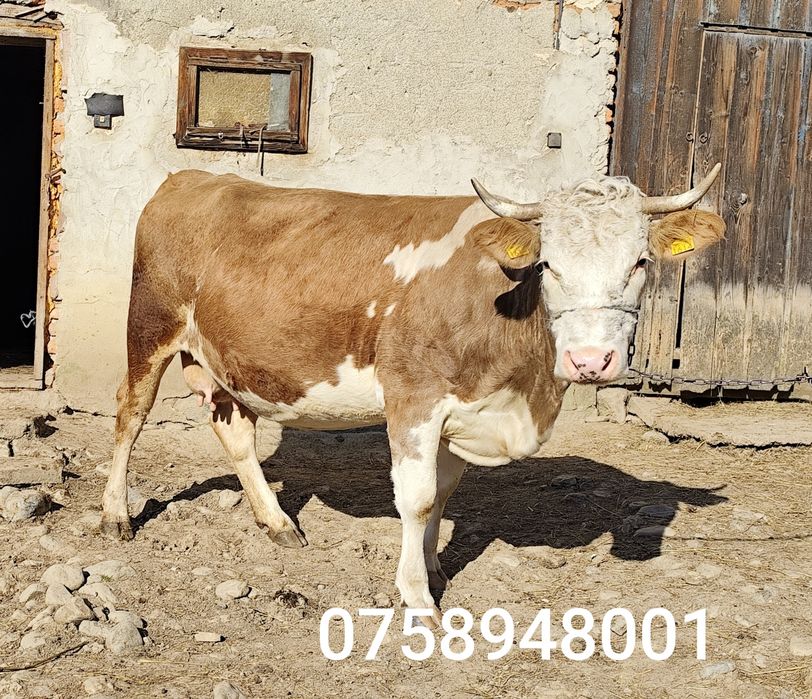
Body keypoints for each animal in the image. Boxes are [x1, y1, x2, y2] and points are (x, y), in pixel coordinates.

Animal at [102, 165, 724, 626]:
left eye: (640, 262)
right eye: (548, 264)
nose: (590, 361)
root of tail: (193, 176)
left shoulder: (460, 411)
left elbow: (444, 495)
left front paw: (434, 569)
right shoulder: (413, 398)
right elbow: (419, 498)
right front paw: (417, 596)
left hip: (225, 362)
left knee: (235, 434)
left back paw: (276, 523)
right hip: (150, 327)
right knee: (131, 416)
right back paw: (115, 515)